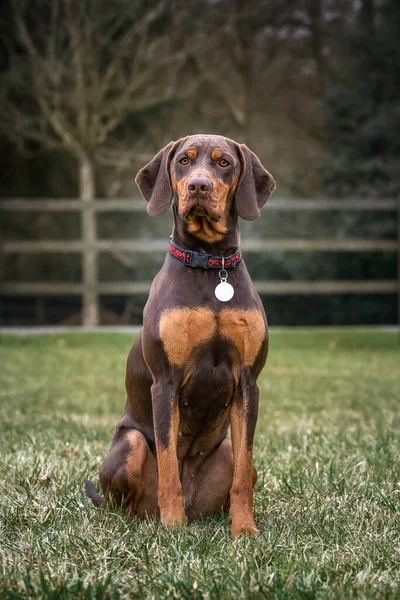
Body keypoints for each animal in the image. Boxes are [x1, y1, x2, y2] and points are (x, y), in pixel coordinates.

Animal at [85, 134, 276, 536]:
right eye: (184, 161)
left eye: (223, 163)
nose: (198, 186)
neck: (209, 265)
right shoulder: (166, 381)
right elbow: (169, 463)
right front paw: (173, 529)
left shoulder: (248, 382)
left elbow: (242, 472)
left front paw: (245, 530)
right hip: (130, 444)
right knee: (129, 500)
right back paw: (152, 521)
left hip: (227, 452)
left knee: (241, 465)